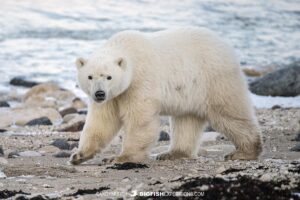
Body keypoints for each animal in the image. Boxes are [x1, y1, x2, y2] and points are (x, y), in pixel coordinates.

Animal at [69, 26, 262, 165]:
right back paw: (172, 153)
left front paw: (120, 157)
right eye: (90, 76)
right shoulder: (113, 97)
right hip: (190, 92)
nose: (99, 93)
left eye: (109, 77)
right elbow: (102, 122)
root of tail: (225, 45)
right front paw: (78, 155)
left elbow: (140, 120)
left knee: (229, 113)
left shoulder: (140, 82)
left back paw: (244, 152)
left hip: (214, 79)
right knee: (186, 120)